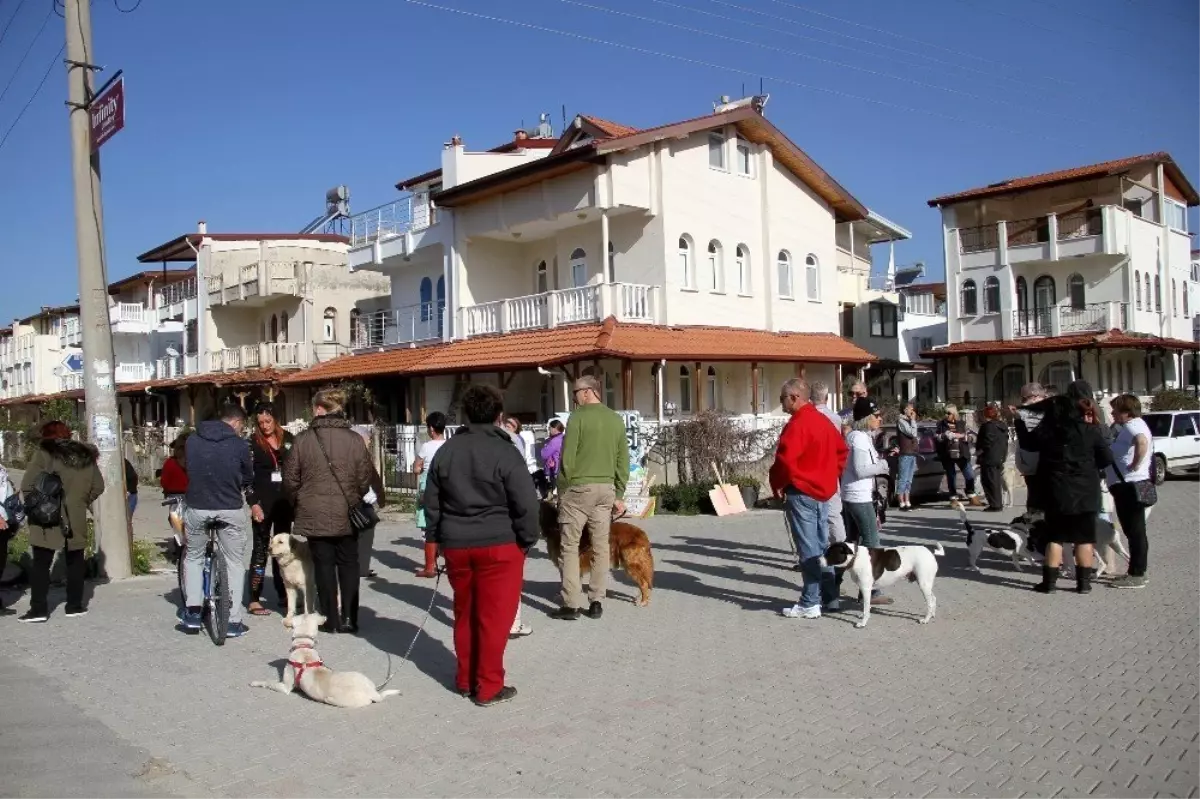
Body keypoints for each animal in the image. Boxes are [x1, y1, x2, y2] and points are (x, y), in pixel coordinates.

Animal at [248, 611, 398, 705]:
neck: (304, 646)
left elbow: (268, 682)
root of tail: (372, 692)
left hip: (333, 699)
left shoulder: (285, 686)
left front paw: (255, 682)